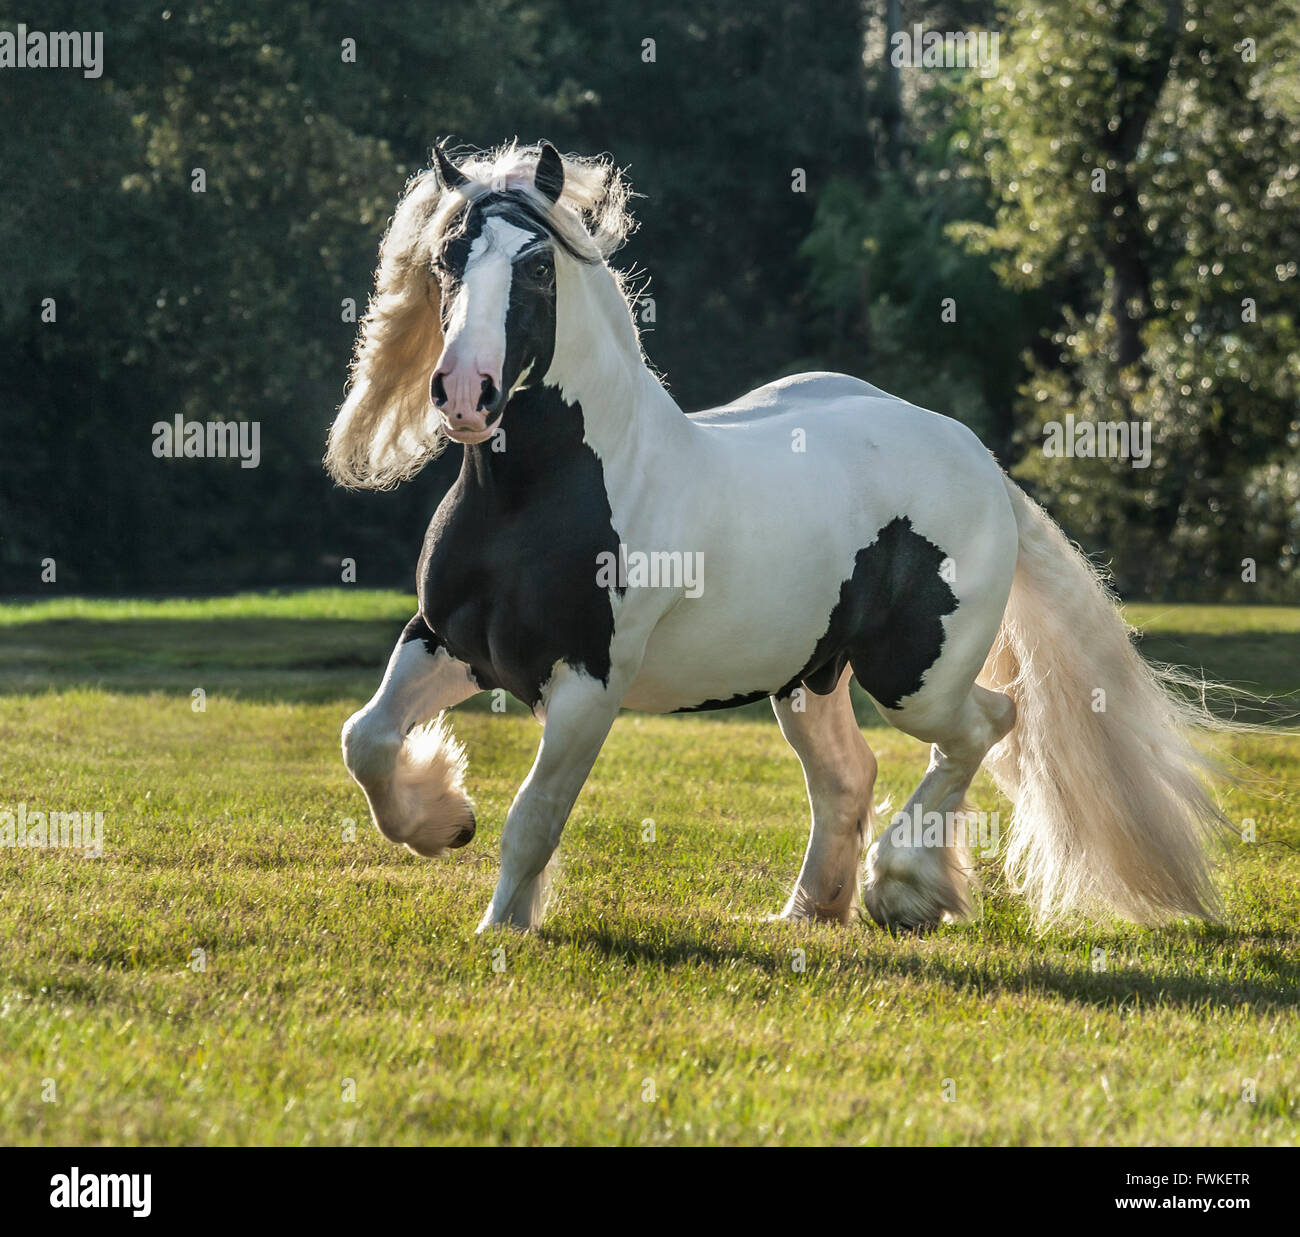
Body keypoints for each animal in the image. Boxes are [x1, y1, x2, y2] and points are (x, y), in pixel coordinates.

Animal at [327, 140, 1227, 930]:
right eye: (447, 257)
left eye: (538, 265)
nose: (464, 393)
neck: (536, 495)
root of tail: (980, 460)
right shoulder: (448, 640)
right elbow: (364, 738)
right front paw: (444, 819)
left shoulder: (589, 681)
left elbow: (535, 813)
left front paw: (503, 926)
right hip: (809, 677)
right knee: (848, 776)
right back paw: (809, 911)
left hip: (915, 680)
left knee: (986, 724)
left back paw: (903, 889)